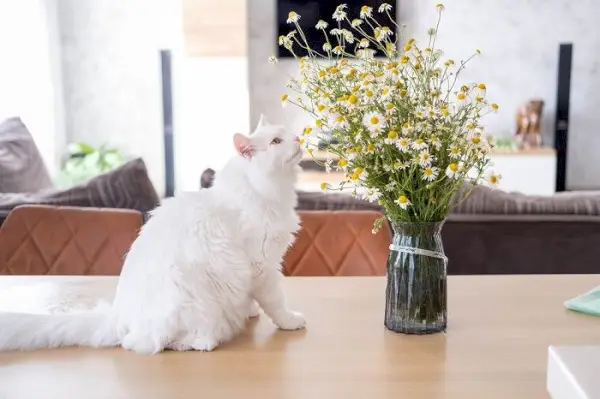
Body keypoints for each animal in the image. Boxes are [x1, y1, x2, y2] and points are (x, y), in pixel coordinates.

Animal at [0, 115, 308, 356]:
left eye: (286, 134)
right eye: (276, 142)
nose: (297, 138)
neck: (264, 190)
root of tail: (117, 315)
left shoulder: (258, 270)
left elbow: (253, 298)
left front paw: (250, 310)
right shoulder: (263, 266)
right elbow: (275, 303)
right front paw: (289, 321)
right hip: (190, 302)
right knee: (143, 344)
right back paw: (202, 342)